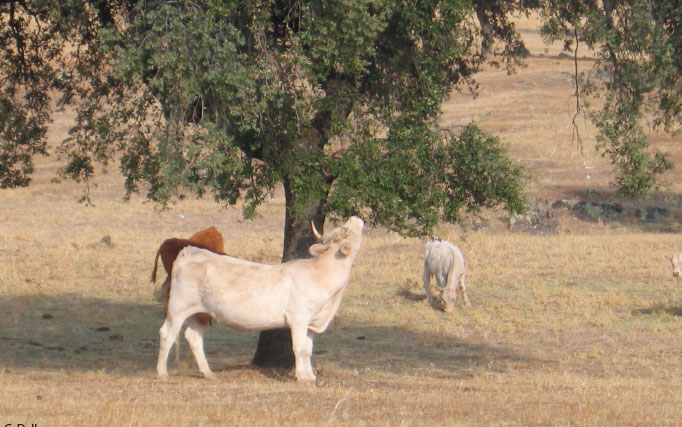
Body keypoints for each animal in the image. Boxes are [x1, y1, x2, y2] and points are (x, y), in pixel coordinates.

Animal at [156, 217, 364, 384]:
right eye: (348, 230)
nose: (355, 218)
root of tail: (189, 251)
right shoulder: (299, 318)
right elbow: (299, 348)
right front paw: (303, 378)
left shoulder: (313, 321)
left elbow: (308, 349)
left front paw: (311, 376)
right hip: (178, 308)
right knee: (167, 333)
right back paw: (162, 373)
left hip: (200, 313)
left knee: (194, 337)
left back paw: (208, 373)